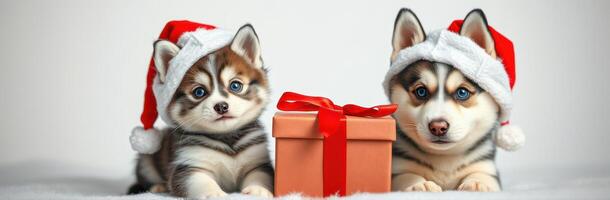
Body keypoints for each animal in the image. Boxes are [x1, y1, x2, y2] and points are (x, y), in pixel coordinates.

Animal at [128, 24, 274, 198]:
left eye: (235, 85)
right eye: (199, 92)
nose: (221, 106)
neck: (227, 140)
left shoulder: (258, 162)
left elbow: (260, 175)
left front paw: (258, 189)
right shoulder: (188, 166)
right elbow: (200, 181)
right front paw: (213, 193)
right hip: (146, 160)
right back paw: (158, 186)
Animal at [388, 9, 502, 192]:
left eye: (462, 92)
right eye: (421, 91)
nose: (438, 127)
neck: (444, 159)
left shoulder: (486, 166)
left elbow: (483, 176)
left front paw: (477, 183)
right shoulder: (398, 167)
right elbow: (406, 176)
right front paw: (419, 183)